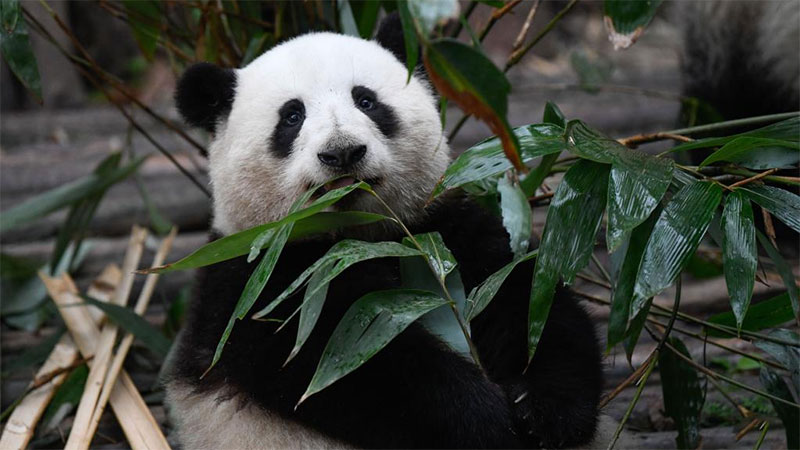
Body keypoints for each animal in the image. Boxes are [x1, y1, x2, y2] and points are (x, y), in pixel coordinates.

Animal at [164, 14, 603, 449]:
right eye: (291, 116)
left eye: (366, 101)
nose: (342, 151)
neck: (355, 235)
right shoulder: (258, 280)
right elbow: (349, 359)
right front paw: (487, 420)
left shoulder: (438, 228)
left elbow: (525, 296)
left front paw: (544, 408)